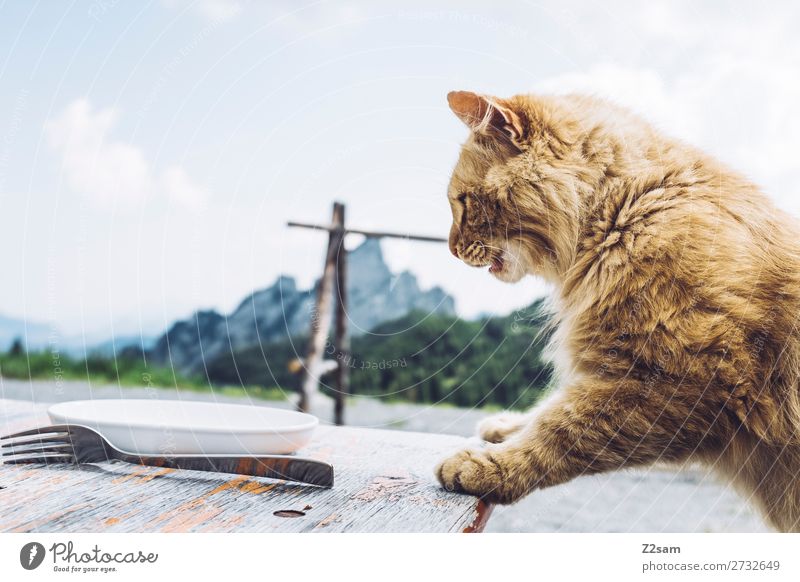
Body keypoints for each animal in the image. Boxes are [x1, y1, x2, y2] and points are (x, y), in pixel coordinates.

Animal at [434, 89, 800, 532]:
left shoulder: (679, 380)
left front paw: (491, 467)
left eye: (463, 202)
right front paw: (507, 427)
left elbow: (559, 430)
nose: (451, 249)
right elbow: (548, 409)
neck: (631, 210)